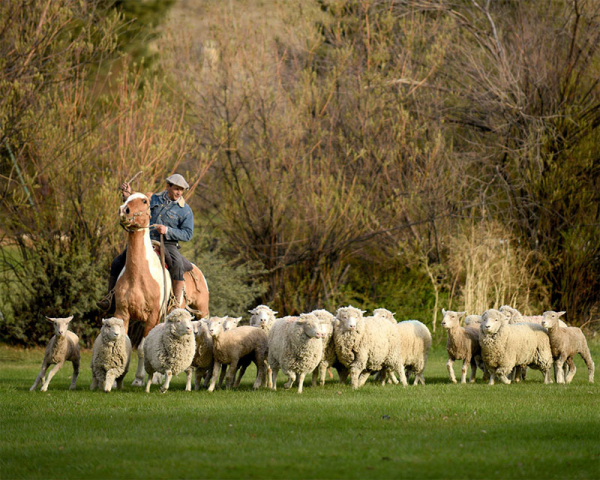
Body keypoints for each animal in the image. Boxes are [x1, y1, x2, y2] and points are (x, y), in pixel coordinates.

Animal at [116, 192, 210, 386]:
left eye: (144, 201)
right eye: (126, 197)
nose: (123, 210)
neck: (138, 275)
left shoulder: (152, 315)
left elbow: (142, 348)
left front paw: (138, 379)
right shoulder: (122, 312)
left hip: (202, 311)